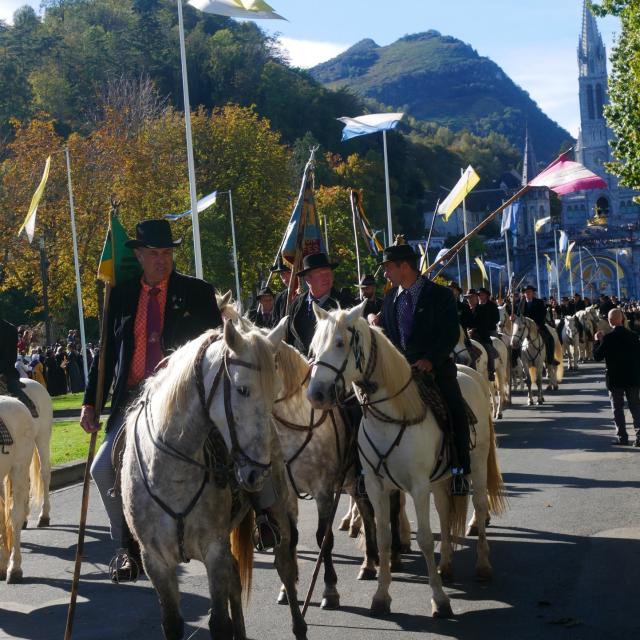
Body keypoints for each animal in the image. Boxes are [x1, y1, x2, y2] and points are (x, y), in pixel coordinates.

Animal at [123, 324, 310, 640]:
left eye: (274, 393)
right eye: (243, 389)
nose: (257, 473)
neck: (172, 472)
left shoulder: (215, 550)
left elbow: (220, 624)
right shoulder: (156, 562)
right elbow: (172, 624)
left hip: (281, 516)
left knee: (284, 566)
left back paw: (299, 625)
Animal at [308, 304, 508, 620]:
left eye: (340, 343)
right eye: (314, 347)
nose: (315, 395)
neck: (392, 416)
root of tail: (469, 373)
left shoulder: (418, 486)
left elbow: (425, 538)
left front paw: (440, 600)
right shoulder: (377, 486)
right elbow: (383, 536)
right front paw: (380, 596)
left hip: (475, 466)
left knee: (477, 504)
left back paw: (483, 565)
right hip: (439, 480)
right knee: (445, 512)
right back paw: (446, 566)